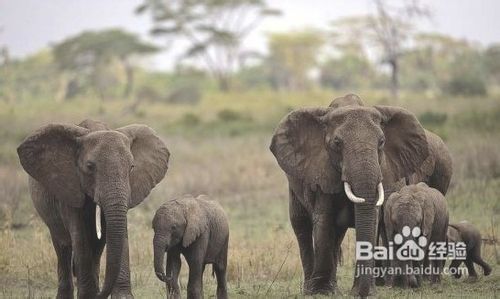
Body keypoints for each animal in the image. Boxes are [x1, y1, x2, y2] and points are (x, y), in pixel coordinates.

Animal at [16, 119, 169, 299]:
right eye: (90, 166)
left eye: (131, 167)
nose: (100, 292)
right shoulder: (69, 186)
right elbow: (79, 236)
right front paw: (88, 295)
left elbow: (119, 231)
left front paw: (121, 296)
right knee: (63, 246)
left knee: (97, 246)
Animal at [270, 94, 454, 298]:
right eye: (337, 143)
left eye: (381, 142)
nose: (363, 294)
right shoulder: (322, 170)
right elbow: (324, 221)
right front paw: (321, 292)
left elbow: (372, 221)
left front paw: (361, 290)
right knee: (301, 224)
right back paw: (311, 289)